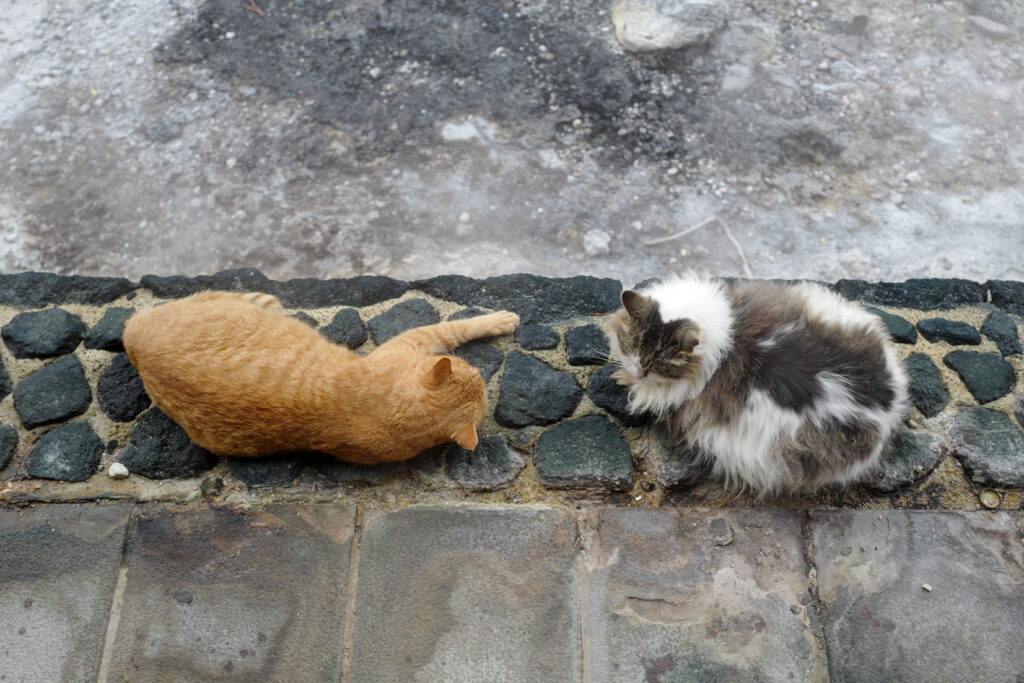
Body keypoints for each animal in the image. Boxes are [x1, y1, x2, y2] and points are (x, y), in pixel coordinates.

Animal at [121, 290, 520, 462]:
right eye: (473, 372)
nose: (480, 372)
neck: (388, 414)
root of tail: (132, 336)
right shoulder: (415, 340)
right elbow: (456, 327)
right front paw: (501, 319)